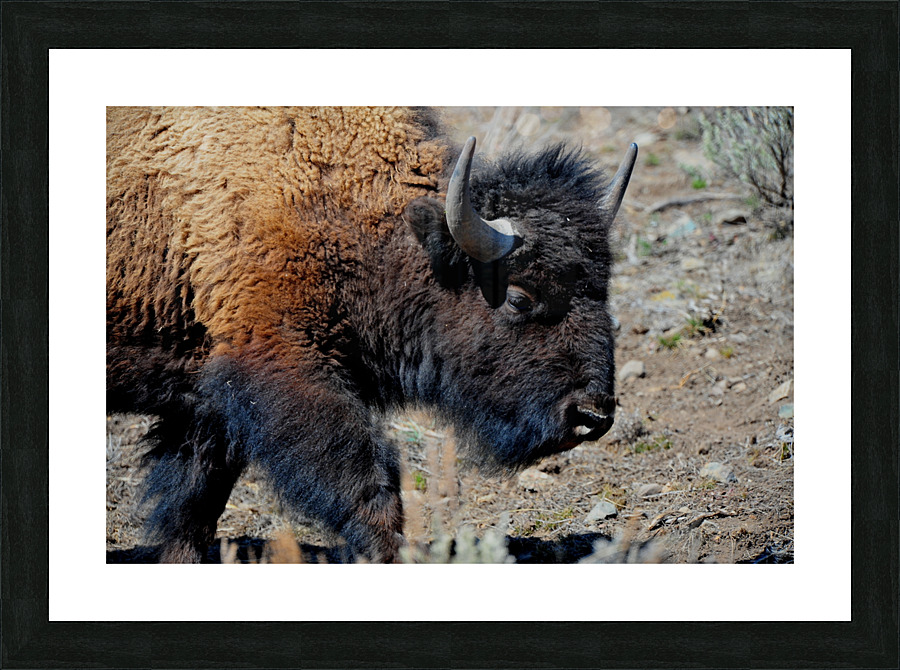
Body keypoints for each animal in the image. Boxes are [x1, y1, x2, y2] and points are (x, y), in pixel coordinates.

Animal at [106, 106, 637, 562]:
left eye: (603, 288)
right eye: (519, 296)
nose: (592, 415)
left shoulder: (207, 401)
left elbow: (194, 501)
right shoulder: (281, 369)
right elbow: (366, 482)